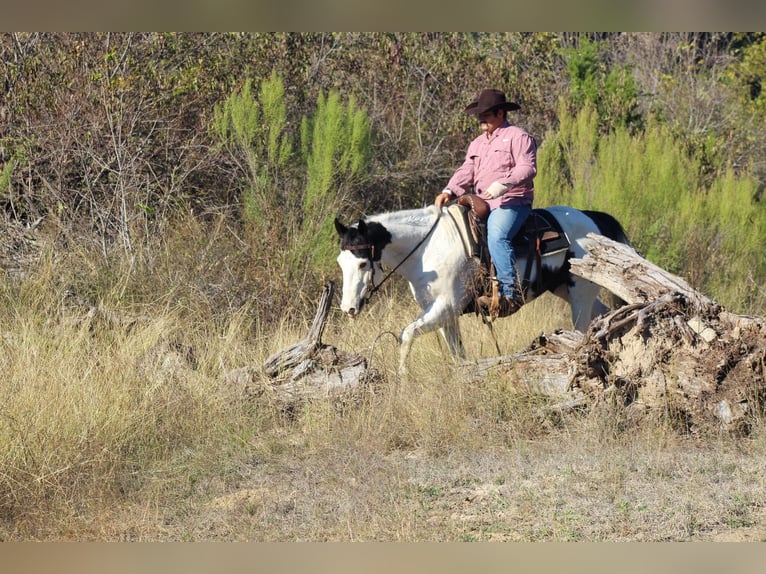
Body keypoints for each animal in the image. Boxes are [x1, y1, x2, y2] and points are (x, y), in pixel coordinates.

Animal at [334, 202, 629, 374]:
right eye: (340, 262)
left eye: (362, 263)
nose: (348, 308)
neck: (427, 249)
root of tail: (594, 219)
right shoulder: (444, 314)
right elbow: (457, 354)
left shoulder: (446, 307)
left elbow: (406, 335)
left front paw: (402, 379)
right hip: (568, 290)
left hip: (579, 294)